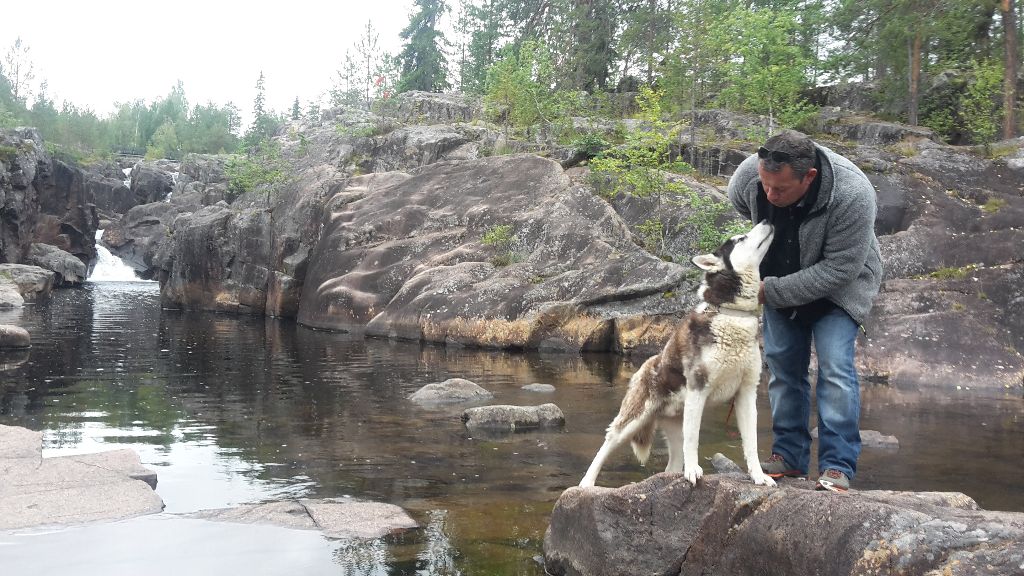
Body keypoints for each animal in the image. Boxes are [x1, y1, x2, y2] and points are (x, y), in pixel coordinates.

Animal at [585, 219, 774, 483]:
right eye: (740, 239)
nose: (766, 220)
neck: (731, 315)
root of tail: (645, 364)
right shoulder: (698, 389)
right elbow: (694, 440)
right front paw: (693, 470)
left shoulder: (746, 393)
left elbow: (752, 443)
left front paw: (759, 476)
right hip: (634, 419)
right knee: (607, 443)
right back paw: (586, 483)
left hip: (676, 424)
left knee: (672, 464)